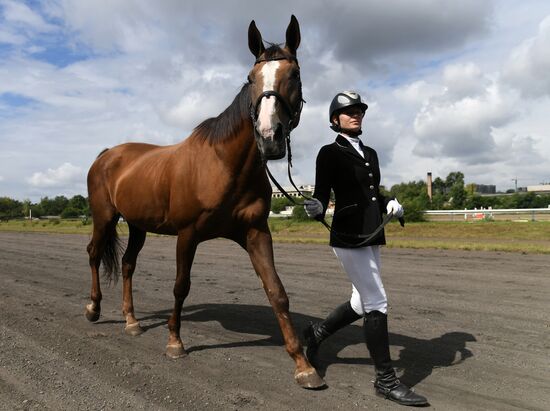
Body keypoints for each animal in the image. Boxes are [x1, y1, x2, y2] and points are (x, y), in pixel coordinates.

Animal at [84, 16, 326, 390]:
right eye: (251, 78)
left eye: (295, 75)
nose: (269, 137)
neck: (224, 164)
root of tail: (107, 154)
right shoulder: (188, 235)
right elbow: (180, 287)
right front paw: (175, 342)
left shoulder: (256, 233)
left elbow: (276, 291)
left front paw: (302, 364)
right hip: (104, 217)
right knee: (95, 254)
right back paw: (94, 309)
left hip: (137, 225)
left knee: (127, 265)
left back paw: (132, 321)